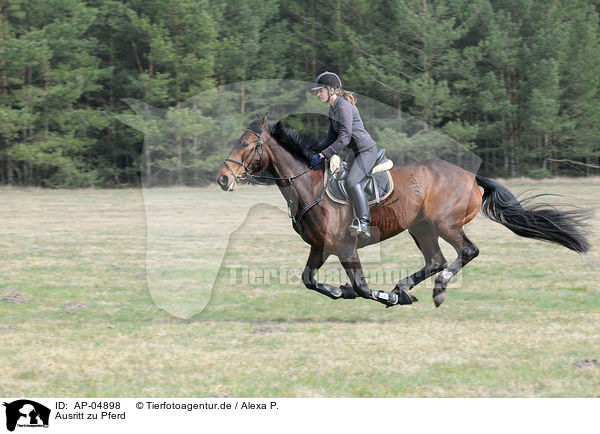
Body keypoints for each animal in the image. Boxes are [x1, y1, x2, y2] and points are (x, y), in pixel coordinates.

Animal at [216, 113, 592, 306]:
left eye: (247, 144)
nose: (222, 179)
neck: (308, 186)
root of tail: (471, 176)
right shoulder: (321, 246)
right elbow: (309, 279)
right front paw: (340, 291)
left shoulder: (345, 246)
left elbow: (362, 286)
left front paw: (379, 296)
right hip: (421, 227)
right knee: (436, 260)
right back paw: (404, 287)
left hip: (445, 224)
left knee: (466, 252)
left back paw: (431, 291)